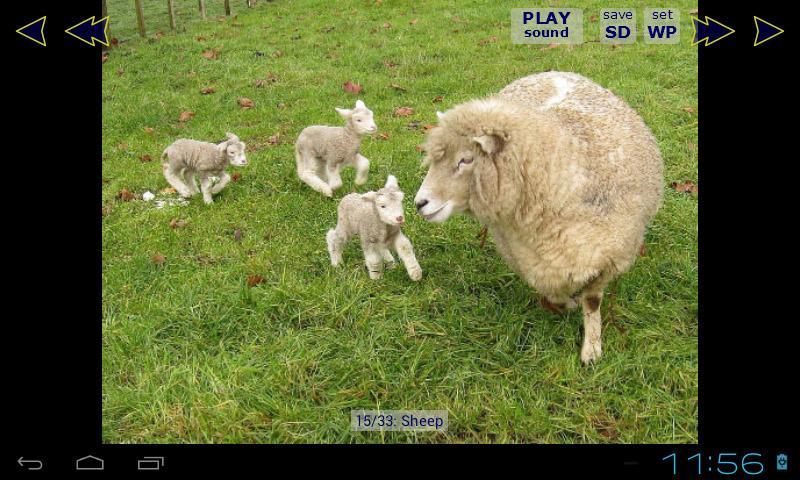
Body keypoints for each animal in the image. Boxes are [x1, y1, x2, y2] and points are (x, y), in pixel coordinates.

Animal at [412, 72, 664, 364]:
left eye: (466, 159)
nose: (419, 203)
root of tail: (554, 72)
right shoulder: (531, 260)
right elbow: (554, 293)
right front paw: (569, 305)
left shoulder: (606, 257)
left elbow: (592, 302)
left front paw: (591, 349)